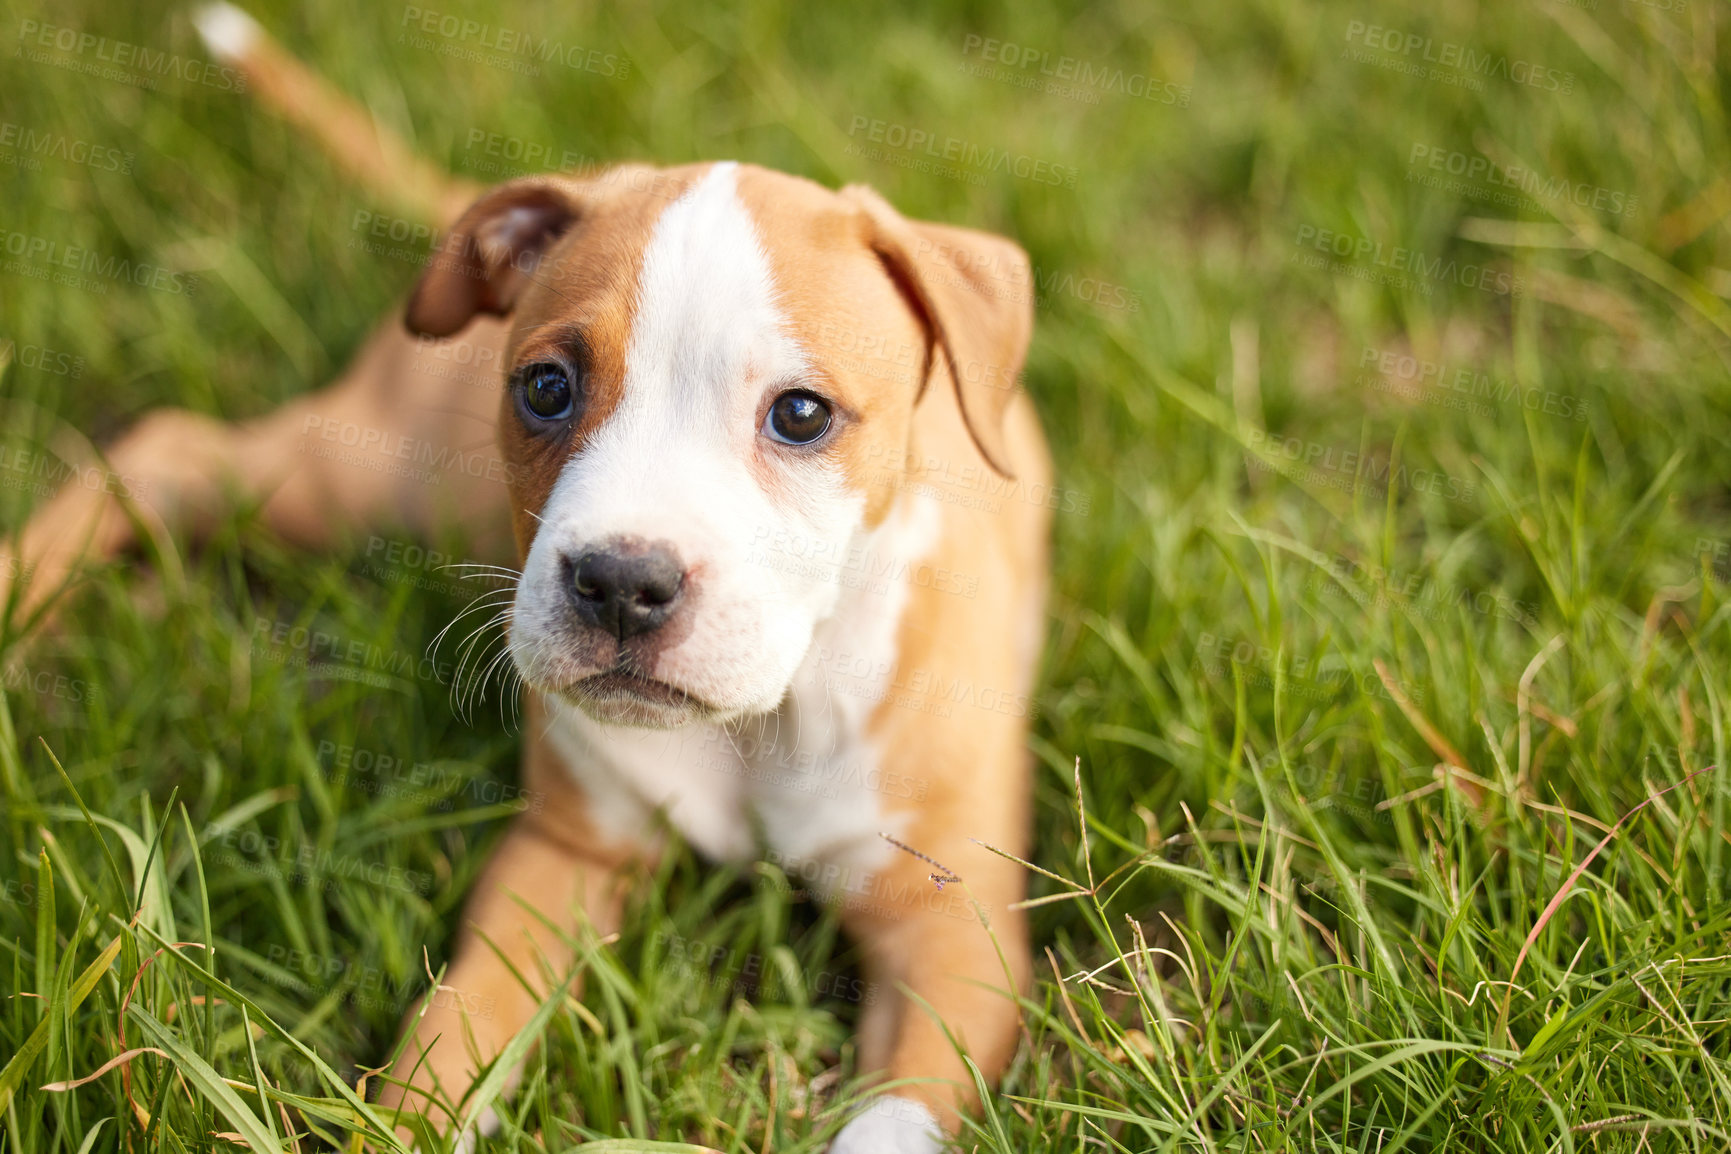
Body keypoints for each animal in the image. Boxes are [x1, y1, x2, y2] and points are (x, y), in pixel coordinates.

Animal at [10, 6, 1052, 1148]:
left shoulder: (953, 933)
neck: (768, 719)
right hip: (375, 475)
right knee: (173, 450)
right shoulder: (562, 858)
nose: (622, 583)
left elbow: (893, 1114)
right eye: (546, 387)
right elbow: (456, 1028)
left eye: (802, 413)